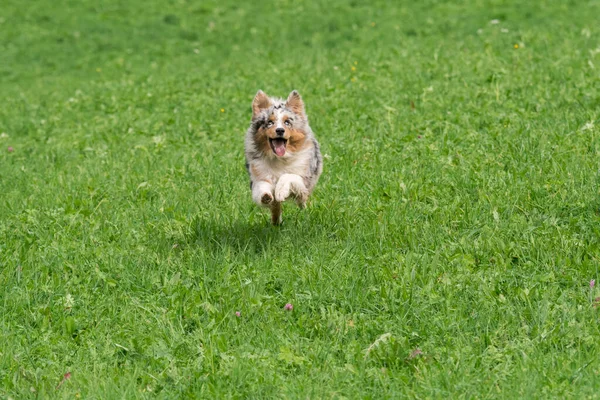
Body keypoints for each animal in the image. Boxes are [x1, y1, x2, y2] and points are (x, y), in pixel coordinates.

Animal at [243, 91, 322, 227]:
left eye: (287, 122)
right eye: (269, 122)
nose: (279, 130)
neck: (279, 159)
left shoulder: (303, 177)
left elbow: (288, 176)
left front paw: (280, 191)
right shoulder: (259, 176)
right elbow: (261, 188)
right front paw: (266, 196)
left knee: (302, 198)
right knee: (276, 208)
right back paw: (276, 222)